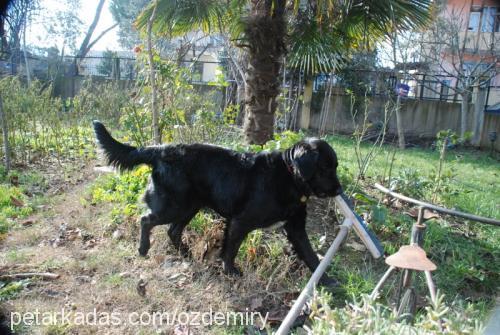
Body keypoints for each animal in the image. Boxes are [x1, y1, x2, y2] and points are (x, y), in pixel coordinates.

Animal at [93, 122, 344, 284]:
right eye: (325, 168)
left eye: (335, 166)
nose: (339, 190)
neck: (289, 176)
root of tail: (161, 149)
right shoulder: (240, 222)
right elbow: (230, 250)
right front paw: (230, 272)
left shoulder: (296, 228)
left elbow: (312, 256)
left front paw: (327, 282)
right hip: (174, 206)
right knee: (146, 219)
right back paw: (144, 249)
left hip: (189, 207)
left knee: (173, 231)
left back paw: (186, 254)